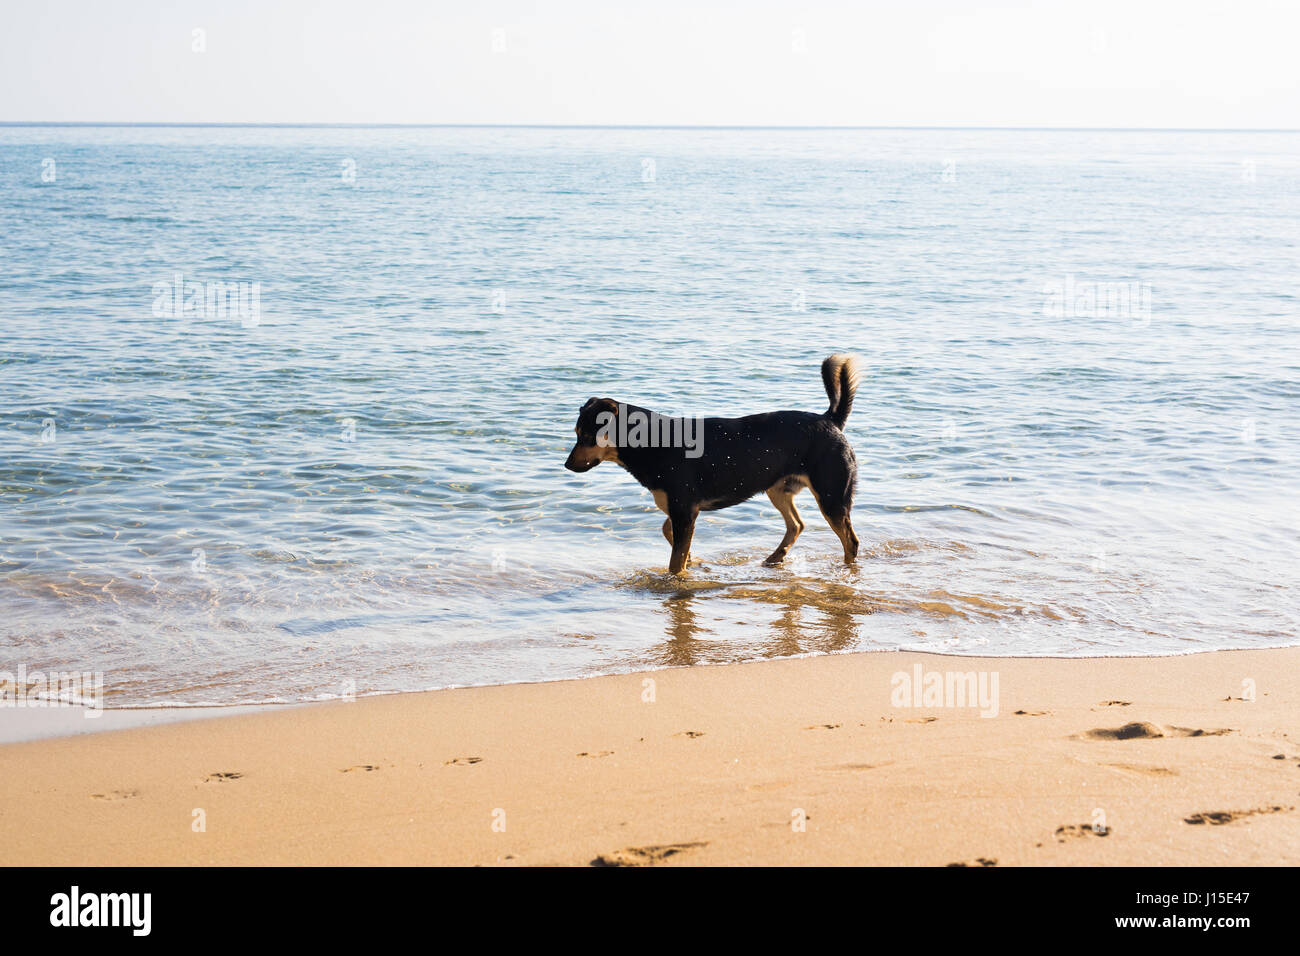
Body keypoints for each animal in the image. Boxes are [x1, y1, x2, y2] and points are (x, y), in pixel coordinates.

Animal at [561, 353, 857, 574]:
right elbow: (670, 534)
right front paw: (694, 561)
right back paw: (776, 557)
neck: (652, 441)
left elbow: (675, 558)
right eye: (576, 433)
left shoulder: (684, 510)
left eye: (586, 437)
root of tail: (830, 420)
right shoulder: (681, 510)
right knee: (797, 525)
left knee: (850, 541)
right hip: (779, 489)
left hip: (831, 496)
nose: (567, 465)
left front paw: (680, 573)